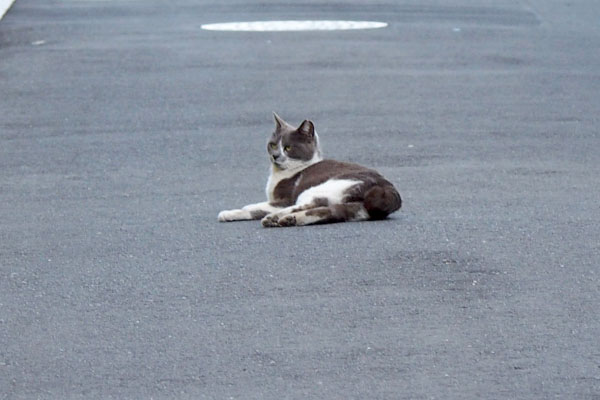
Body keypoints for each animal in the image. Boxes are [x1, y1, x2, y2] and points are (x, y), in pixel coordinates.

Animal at [218, 113, 400, 228]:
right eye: (273, 145)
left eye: (288, 148)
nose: (275, 155)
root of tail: (387, 188)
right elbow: (254, 208)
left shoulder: (284, 199)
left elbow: (252, 207)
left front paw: (227, 213)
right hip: (356, 209)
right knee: (328, 211)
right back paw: (288, 220)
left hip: (321, 188)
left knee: (308, 204)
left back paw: (275, 218)